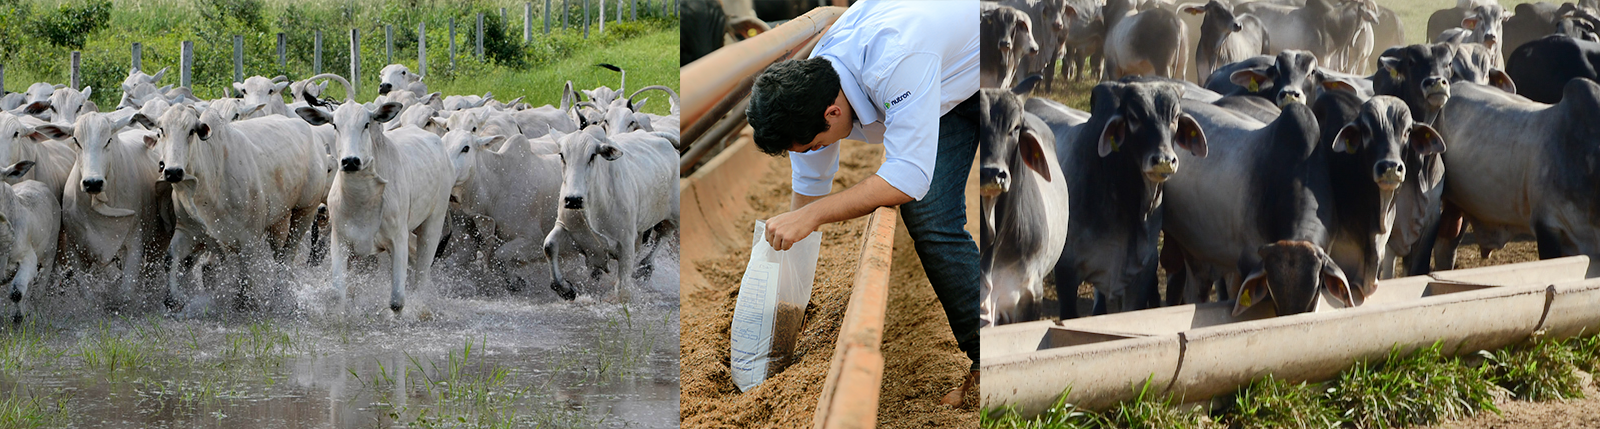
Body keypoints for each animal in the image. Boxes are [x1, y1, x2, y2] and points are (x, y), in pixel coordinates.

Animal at [294, 102, 451, 313]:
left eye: (366, 124)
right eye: (335, 125)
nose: (350, 161)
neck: (363, 200)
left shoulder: (398, 238)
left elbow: (396, 301)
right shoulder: (340, 239)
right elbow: (337, 294)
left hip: (434, 221)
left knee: (421, 277)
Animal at [544, 128, 681, 300]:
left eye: (592, 156)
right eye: (562, 155)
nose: (573, 199)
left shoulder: (626, 243)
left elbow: (622, 290)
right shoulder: (565, 225)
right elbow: (549, 245)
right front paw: (565, 289)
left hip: (673, 216)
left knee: (664, 236)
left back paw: (645, 266)